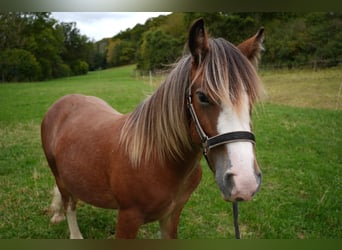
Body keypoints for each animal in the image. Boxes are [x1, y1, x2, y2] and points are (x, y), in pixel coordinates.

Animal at [40, 18, 264, 239]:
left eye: (251, 98)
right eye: (202, 97)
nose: (245, 182)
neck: (158, 157)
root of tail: (61, 103)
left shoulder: (172, 215)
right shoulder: (128, 218)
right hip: (58, 174)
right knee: (69, 204)